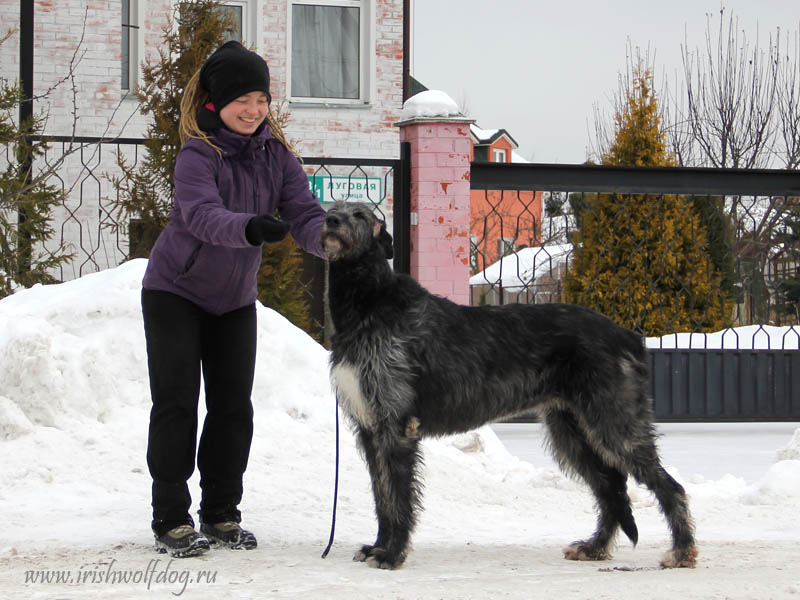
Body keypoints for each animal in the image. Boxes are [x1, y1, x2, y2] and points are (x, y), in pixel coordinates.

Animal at [322, 199, 696, 568]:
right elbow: (381, 496)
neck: (368, 302)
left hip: (615, 422)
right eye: (332, 208)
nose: (330, 221)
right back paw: (594, 547)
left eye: (360, 214)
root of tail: (629, 336)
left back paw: (682, 550)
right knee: (611, 487)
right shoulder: (370, 429)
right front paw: (377, 547)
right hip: (570, 428)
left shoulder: (396, 426)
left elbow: (398, 498)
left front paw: (393, 553)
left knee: (666, 485)